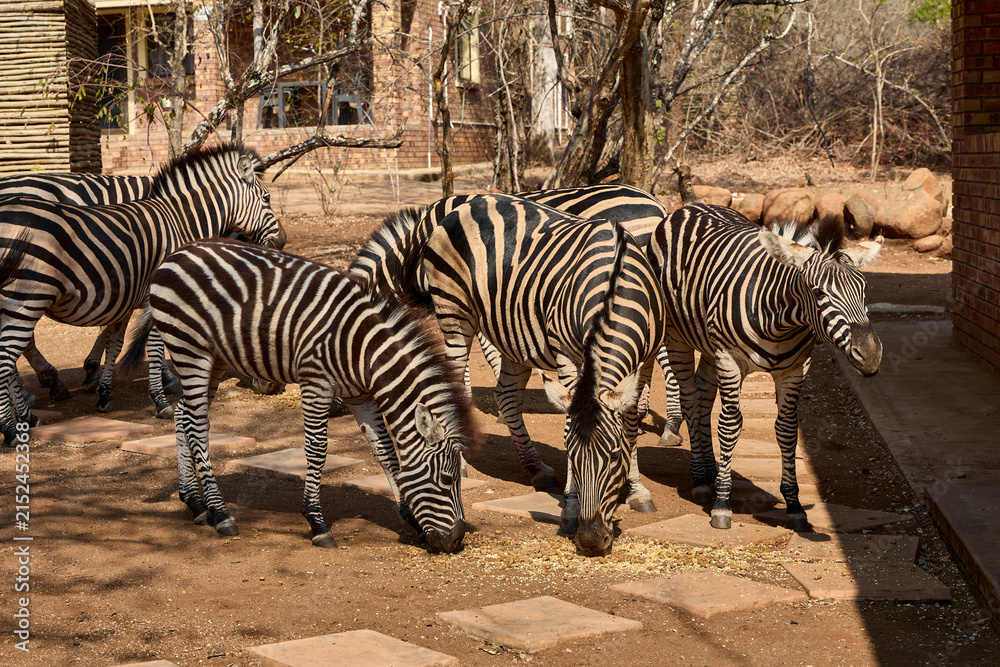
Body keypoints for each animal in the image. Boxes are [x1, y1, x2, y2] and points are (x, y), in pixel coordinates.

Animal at [0, 143, 284, 444]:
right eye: (266, 198)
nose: (282, 241)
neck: (181, 221)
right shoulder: (162, 295)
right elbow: (156, 346)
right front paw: (161, 400)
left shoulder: (125, 295)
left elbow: (115, 341)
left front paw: (104, 392)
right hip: (27, 298)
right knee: (7, 359)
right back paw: (12, 427)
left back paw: (27, 416)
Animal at [119, 239, 475, 552]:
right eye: (447, 479)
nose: (456, 541)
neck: (363, 351)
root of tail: (175, 254)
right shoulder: (316, 383)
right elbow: (317, 450)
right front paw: (317, 523)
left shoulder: (360, 395)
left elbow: (385, 451)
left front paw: (408, 514)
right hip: (190, 349)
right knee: (197, 426)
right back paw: (221, 514)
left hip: (213, 358)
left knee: (184, 416)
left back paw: (194, 503)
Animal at [397, 194, 665, 556]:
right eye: (573, 459)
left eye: (613, 457)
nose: (591, 541)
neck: (614, 288)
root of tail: (466, 202)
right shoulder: (567, 353)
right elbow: (568, 425)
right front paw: (570, 506)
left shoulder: (647, 357)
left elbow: (633, 418)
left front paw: (637, 489)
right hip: (454, 313)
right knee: (460, 386)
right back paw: (462, 462)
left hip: (514, 332)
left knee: (506, 395)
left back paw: (536, 468)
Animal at [647, 203, 883, 531]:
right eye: (818, 292)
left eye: (864, 289)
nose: (871, 355)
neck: (781, 321)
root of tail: (692, 205)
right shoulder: (729, 359)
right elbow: (730, 425)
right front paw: (722, 505)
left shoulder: (796, 369)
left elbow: (787, 430)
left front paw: (794, 505)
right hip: (676, 336)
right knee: (690, 398)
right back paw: (701, 478)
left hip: (708, 347)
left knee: (704, 398)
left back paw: (709, 469)